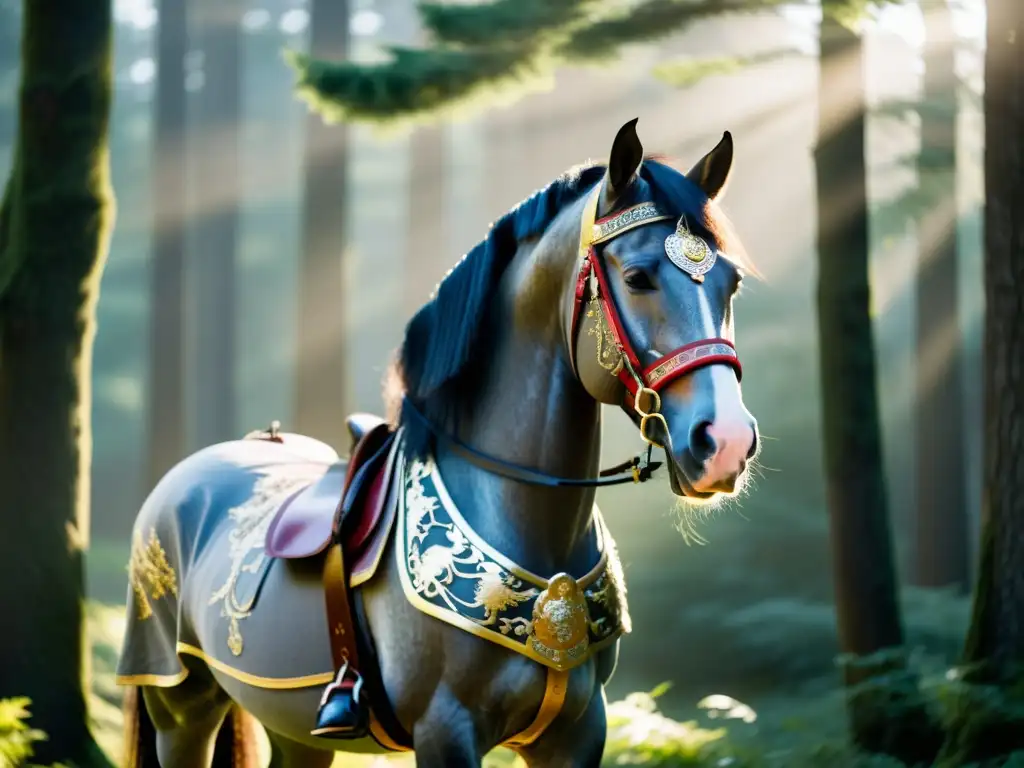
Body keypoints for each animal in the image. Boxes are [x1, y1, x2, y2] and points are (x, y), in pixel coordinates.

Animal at [117, 117, 761, 765]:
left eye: (730, 282)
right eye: (636, 277)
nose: (726, 441)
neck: (517, 512)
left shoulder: (577, 731)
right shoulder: (445, 729)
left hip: (291, 728)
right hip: (182, 704)